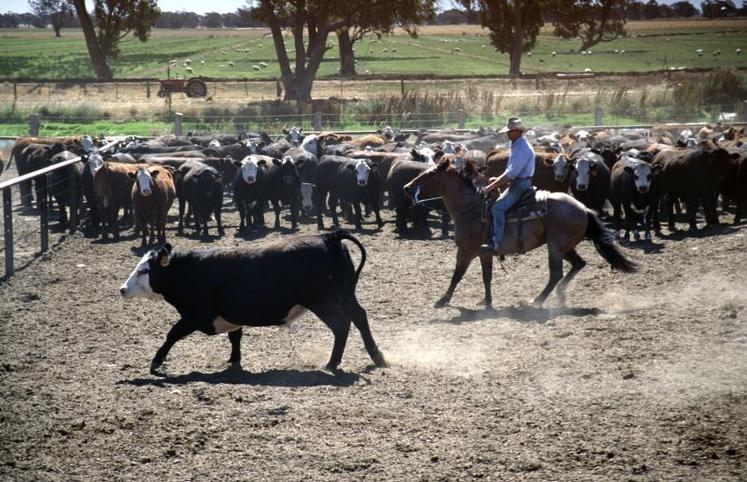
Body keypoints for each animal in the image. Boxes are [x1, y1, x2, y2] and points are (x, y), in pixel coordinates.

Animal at [404, 158, 636, 308]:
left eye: (429, 174)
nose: (406, 187)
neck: (469, 209)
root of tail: (583, 208)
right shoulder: (484, 253)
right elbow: (486, 277)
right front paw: (486, 301)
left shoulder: (466, 252)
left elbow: (457, 276)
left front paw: (443, 300)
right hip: (565, 246)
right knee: (578, 265)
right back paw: (560, 295)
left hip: (556, 246)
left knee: (556, 273)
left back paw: (537, 300)